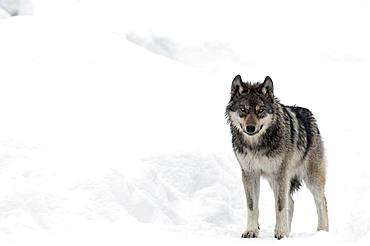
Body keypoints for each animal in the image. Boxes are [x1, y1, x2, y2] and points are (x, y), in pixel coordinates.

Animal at [224, 74, 328, 238]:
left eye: (260, 110)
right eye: (243, 109)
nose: (250, 128)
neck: (257, 145)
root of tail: (310, 116)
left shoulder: (281, 174)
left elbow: (279, 206)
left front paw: (281, 232)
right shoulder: (249, 173)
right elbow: (252, 206)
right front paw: (251, 231)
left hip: (310, 179)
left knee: (321, 202)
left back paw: (322, 232)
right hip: (274, 181)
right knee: (291, 203)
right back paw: (289, 230)